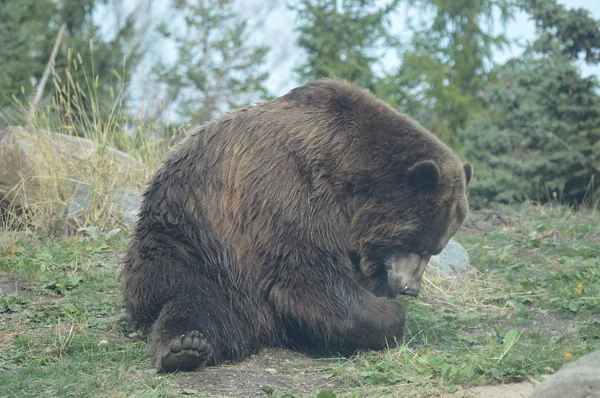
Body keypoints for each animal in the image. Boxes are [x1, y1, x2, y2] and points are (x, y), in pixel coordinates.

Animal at [119, 78, 472, 374]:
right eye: (418, 243)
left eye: (435, 250)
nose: (411, 288)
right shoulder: (290, 189)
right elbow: (305, 275)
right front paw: (390, 314)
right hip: (192, 243)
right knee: (191, 298)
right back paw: (184, 346)